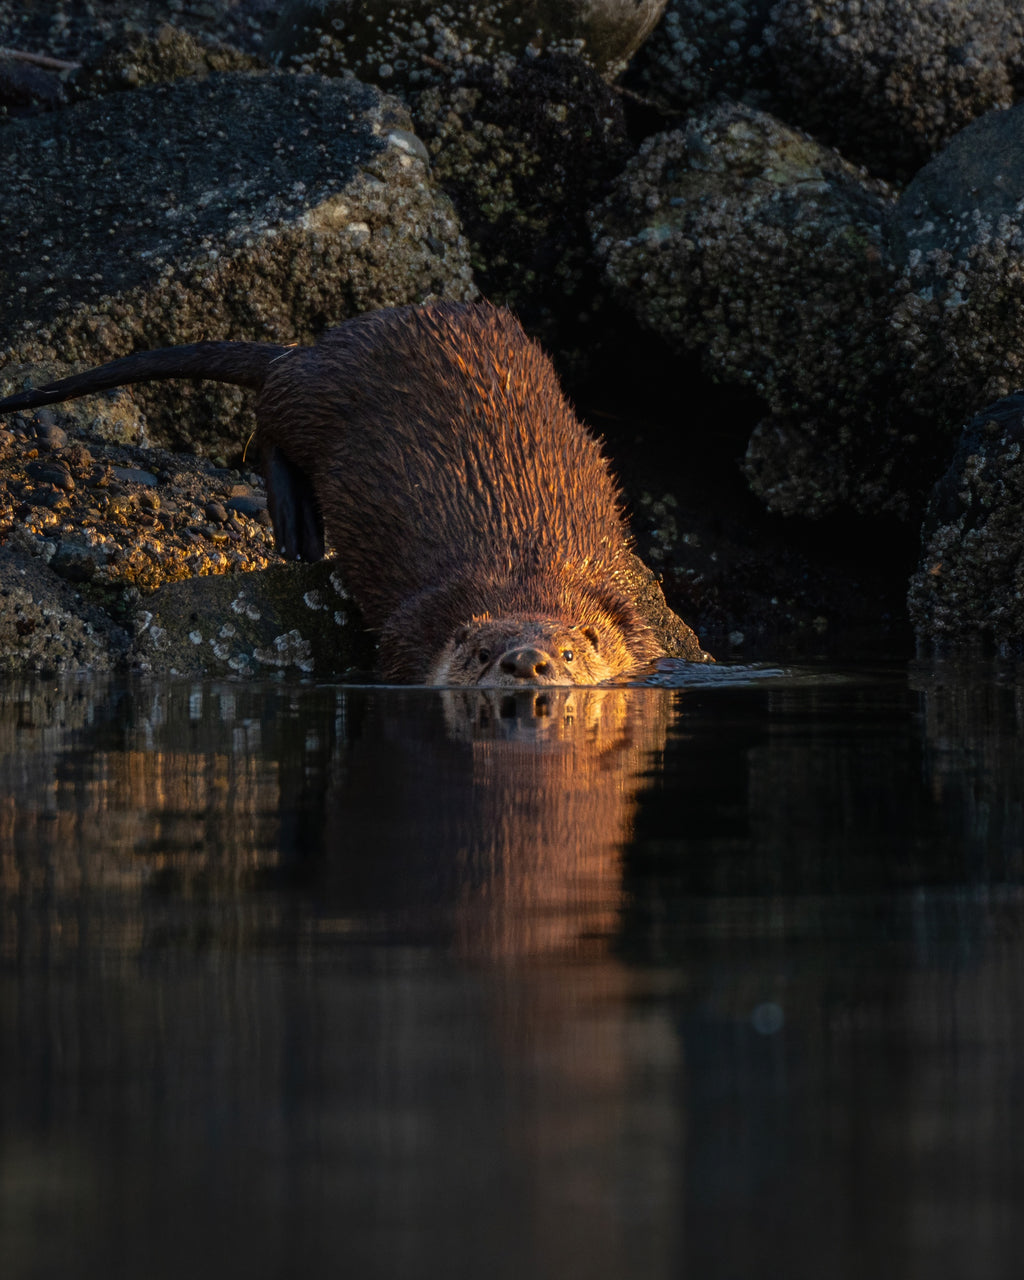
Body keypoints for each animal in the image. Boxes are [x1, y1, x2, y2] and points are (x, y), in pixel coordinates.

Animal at [0, 301, 667, 685]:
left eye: (570, 654)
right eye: (481, 653)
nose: (526, 662)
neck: (523, 573)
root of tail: (317, 349)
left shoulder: (632, 626)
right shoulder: (411, 633)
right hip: (314, 405)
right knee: (269, 422)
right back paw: (298, 530)